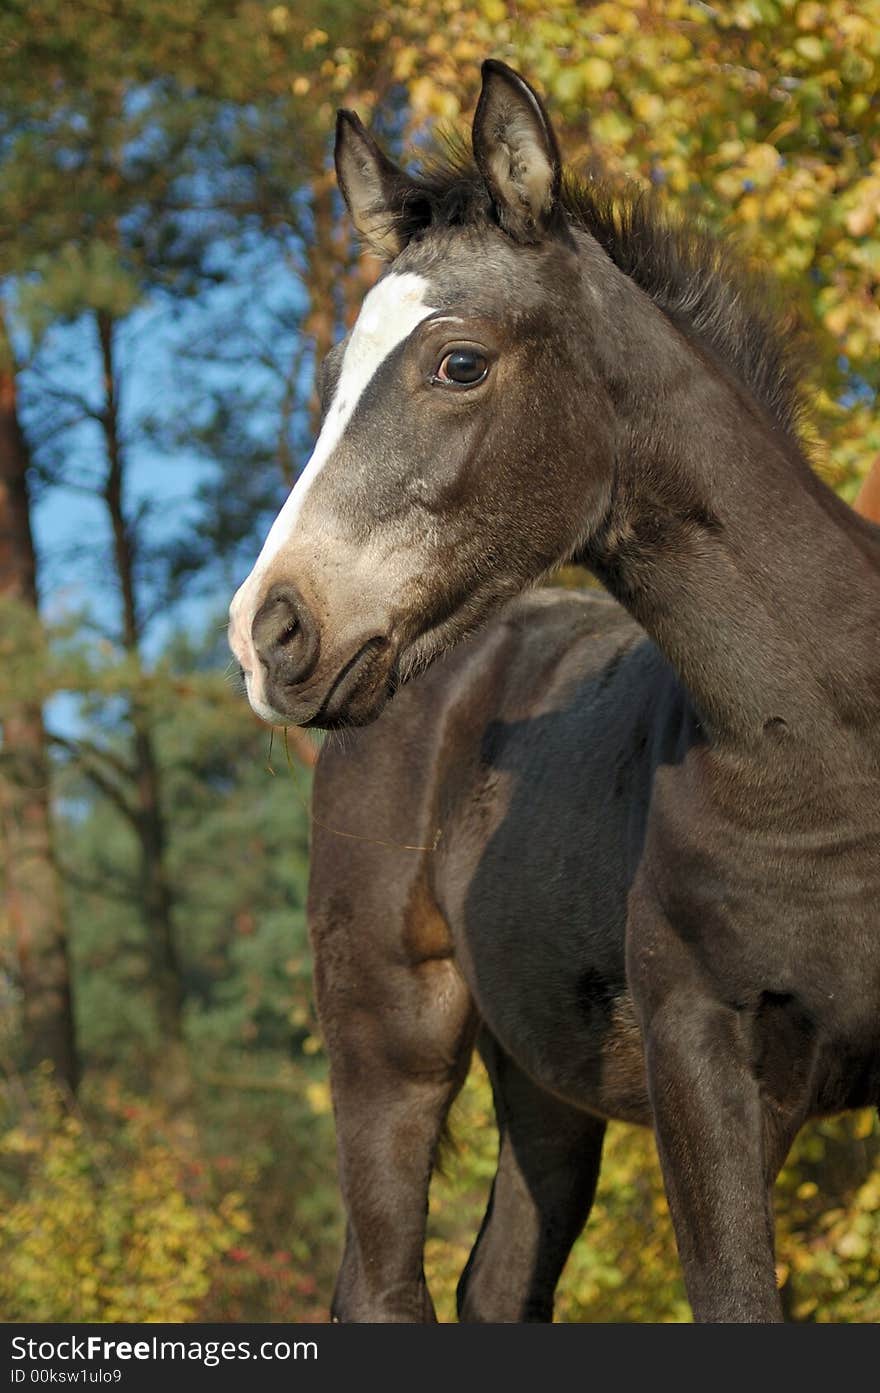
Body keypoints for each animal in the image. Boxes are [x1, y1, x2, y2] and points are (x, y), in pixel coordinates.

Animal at [228, 62, 880, 1326]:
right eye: (331, 382)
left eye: (459, 362)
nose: (269, 630)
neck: (825, 758)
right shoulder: (700, 1060)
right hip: (390, 1038)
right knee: (385, 1285)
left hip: (545, 1082)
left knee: (493, 1286)